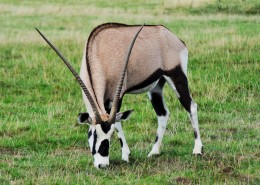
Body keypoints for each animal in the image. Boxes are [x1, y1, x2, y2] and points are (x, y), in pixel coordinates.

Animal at [36, 22, 203, 168]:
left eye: (109, 136)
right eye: (93, 134)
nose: (102, 165)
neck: (98, 52)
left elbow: (117, 122)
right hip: (156, 86)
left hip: (177, 77)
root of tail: (174, 37)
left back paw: (197, 150)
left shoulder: (117, 95)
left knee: (191, 106)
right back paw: (154, 152)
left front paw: (125, 156)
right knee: (163, 113)